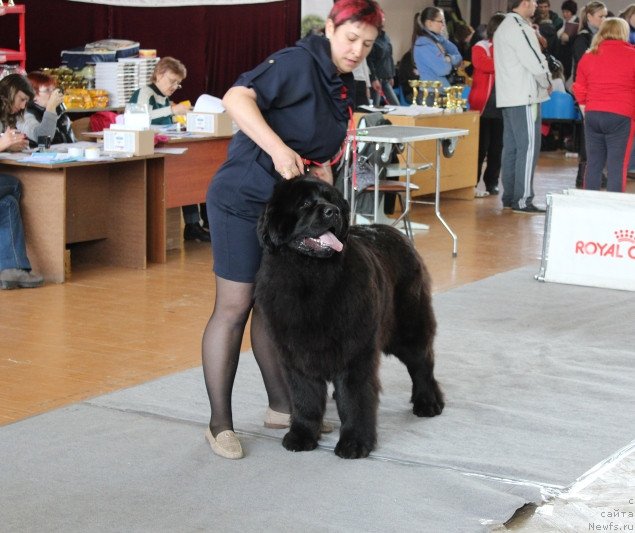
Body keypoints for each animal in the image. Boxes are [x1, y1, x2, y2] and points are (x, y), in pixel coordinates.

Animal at [253, 176, 442, 458]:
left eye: (331, 200)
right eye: (305, 204)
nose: (332, 211)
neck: (309, 278)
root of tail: (397, 233)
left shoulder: (355, 352)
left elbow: (354, 400)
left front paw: (355, 443)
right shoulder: (296, 355)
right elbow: (304, 399)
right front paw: (301, 436)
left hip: (408, 326)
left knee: (422, 363)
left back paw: (428, 402)